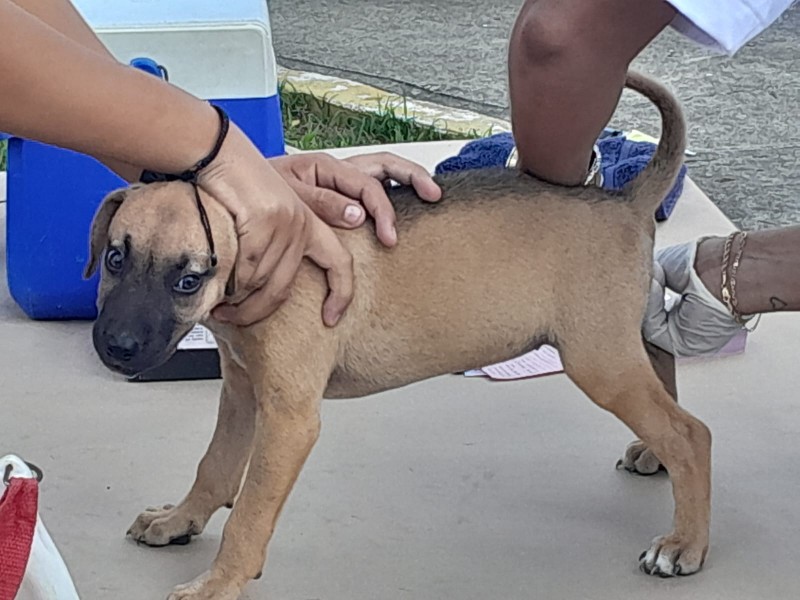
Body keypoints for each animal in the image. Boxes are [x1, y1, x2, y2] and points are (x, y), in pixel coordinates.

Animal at [86, 71, 708, 600]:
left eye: (189, 280)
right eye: (115, 258)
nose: (116, 348)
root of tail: (624, 200)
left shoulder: (288, 418)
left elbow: (249, 514)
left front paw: (218, 583)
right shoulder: (242, 388)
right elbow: (214, 466)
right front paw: (178, 521)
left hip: (597, 358)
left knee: (692, 432)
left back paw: (685, 544)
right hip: (619, 343)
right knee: (664, 375)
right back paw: (655, 458)